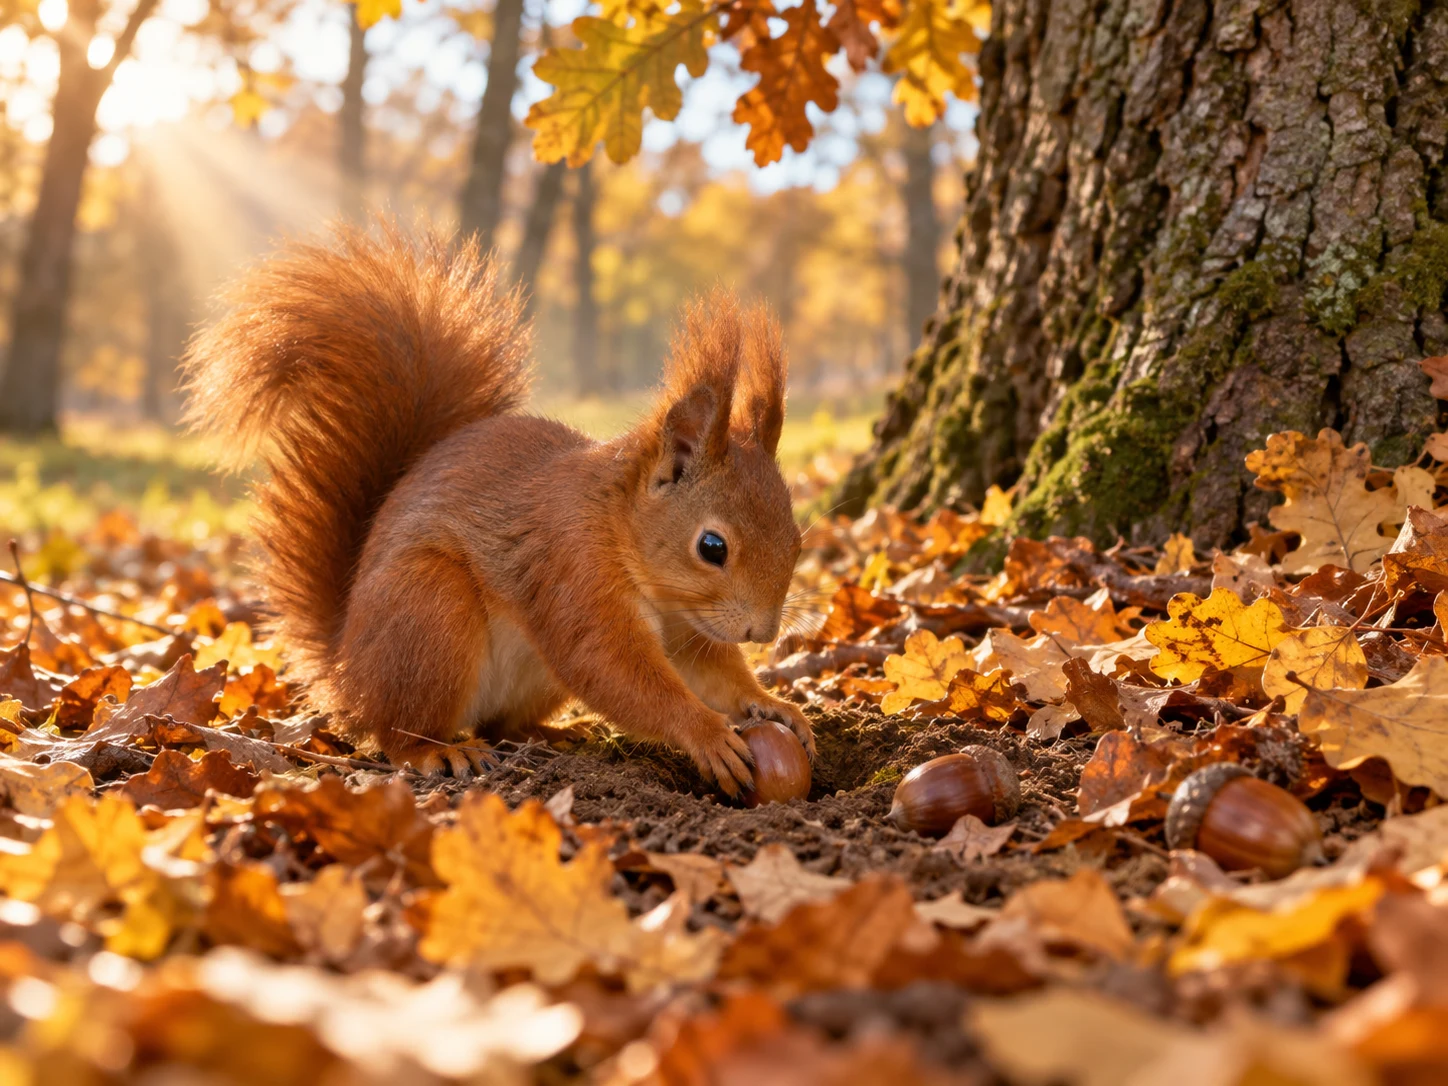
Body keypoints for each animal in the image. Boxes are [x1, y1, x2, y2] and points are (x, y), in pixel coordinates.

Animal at [181, 224, 813, 794]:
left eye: (797, 540)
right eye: (712, 547)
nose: (762, 631)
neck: (620, 528)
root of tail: (344, 670)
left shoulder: (686, 625)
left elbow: (709, 671)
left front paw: (771, 705)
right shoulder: (571, 568)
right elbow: (613, 670)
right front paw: (706, 733)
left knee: (499, 725)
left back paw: (552, 735)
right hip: (428, 612)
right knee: (399, 732)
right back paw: (438, 754)